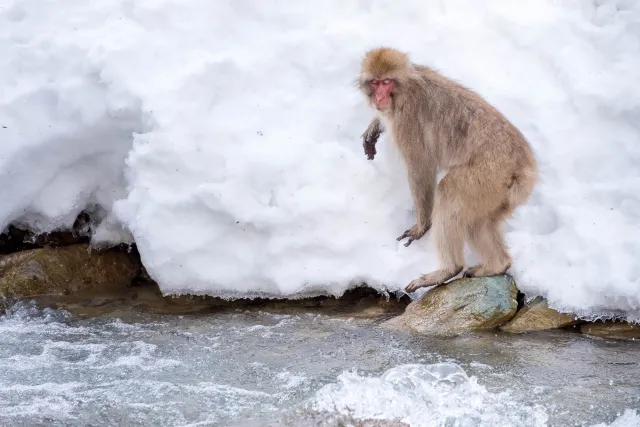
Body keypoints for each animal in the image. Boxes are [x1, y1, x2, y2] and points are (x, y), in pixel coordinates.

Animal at [358, 47, 536, 294]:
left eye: (387, 82)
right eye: (375, 83)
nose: (379, 98)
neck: (405, 90)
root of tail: (523, 168)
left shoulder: (407, 120)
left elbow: (421, 167)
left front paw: (422, 226)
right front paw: (374, 127)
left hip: (486, 176)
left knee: (449, 192)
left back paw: (448, 269)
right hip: (497, 194)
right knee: (477, 223)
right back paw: (496, 265)